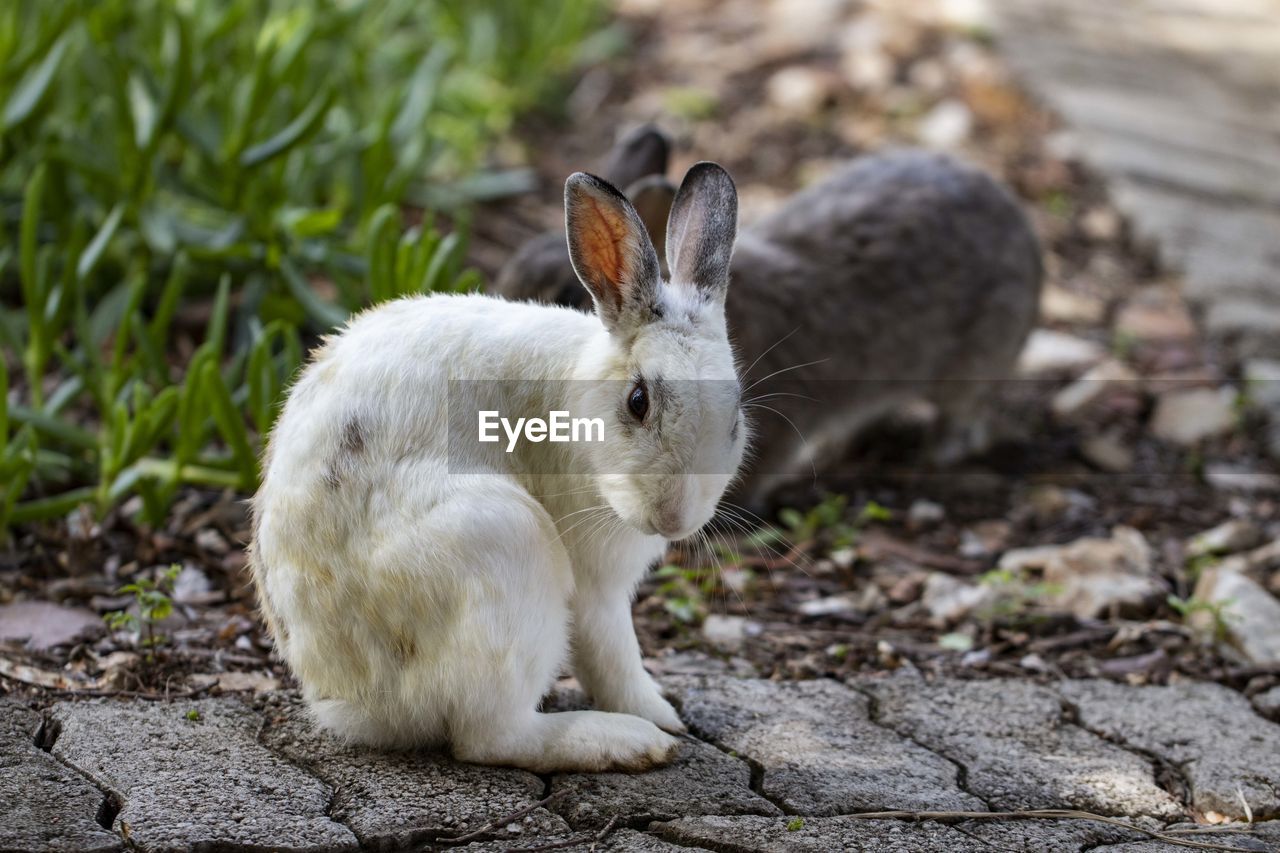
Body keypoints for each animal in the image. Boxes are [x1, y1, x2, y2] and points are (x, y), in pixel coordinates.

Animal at [248, 161, 747, 768]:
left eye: (736, 417)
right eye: (638, 401)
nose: (674, 519)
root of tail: (354, 702)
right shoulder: (597, 589)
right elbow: (614, 658)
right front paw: (663, 718)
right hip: (506, 549)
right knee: (490, 735)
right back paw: (625, 741)